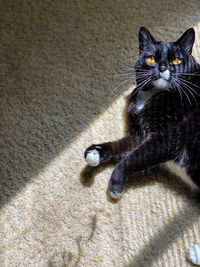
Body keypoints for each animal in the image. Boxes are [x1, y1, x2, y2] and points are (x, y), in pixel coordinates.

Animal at [83, 27, 200, 200]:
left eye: (176, 61)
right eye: (151, 59)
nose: (162, 67)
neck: (151, 95)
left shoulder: (165, 138)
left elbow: (132, 157)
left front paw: (116, 183)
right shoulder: (139, 134)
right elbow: (122, 145)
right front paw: (96, 151)